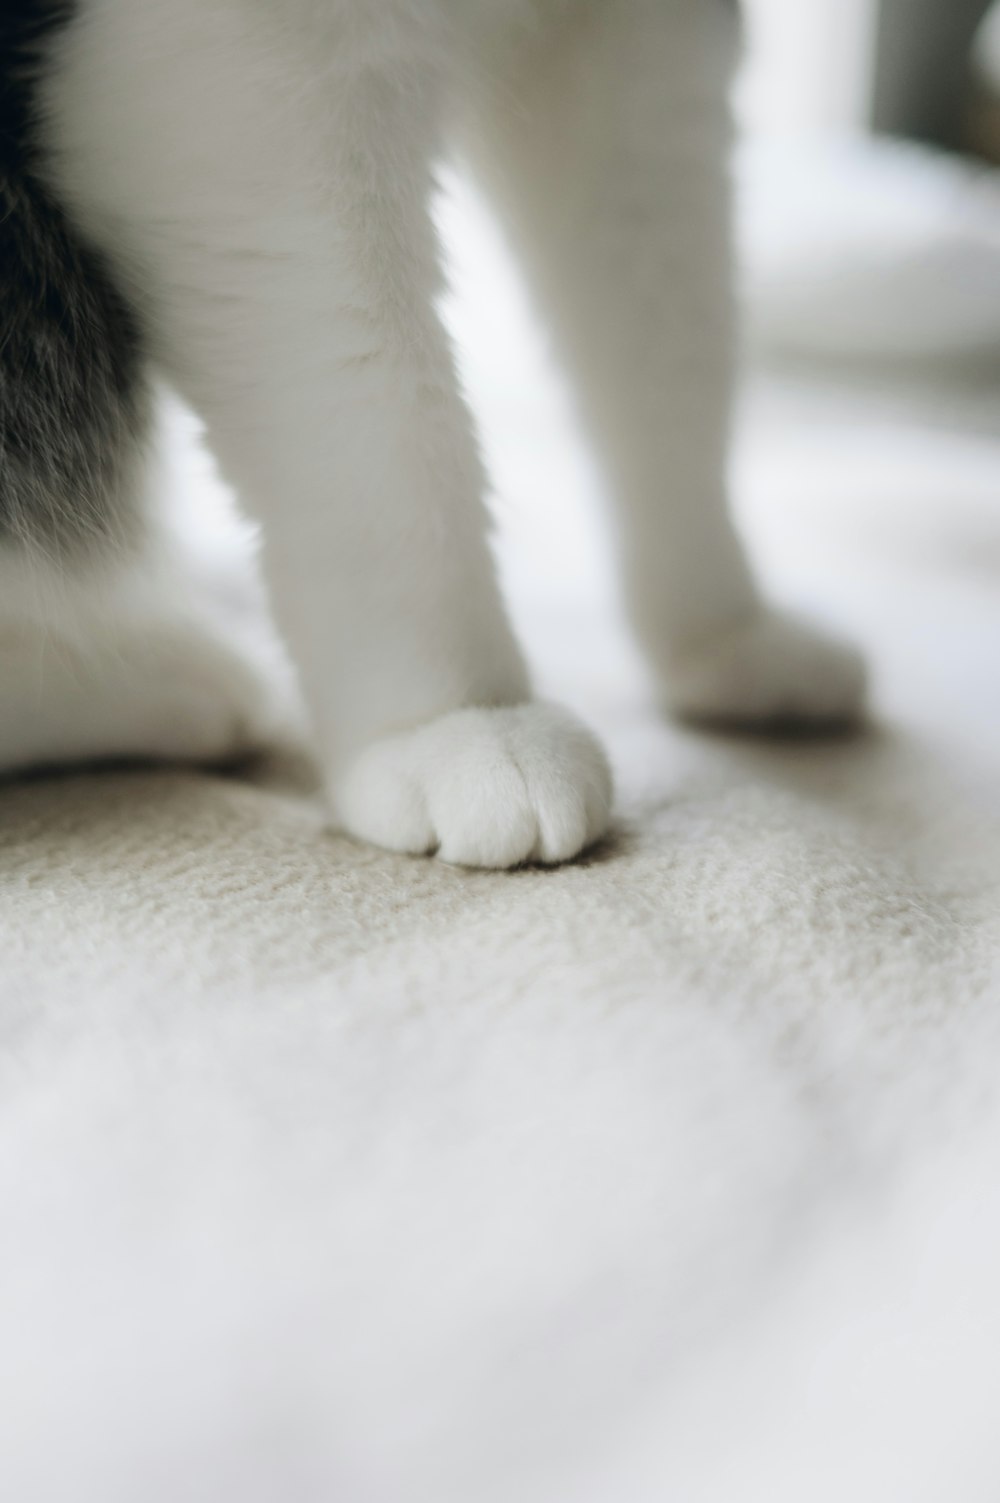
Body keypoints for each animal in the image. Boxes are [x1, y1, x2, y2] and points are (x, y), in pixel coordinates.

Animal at [0, 0, 860, 871]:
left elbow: (671, 349)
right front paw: (458, 719)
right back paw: (174, 679)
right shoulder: (234, 63)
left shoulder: (639, 46)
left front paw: (721, 627)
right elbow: (378, 409)